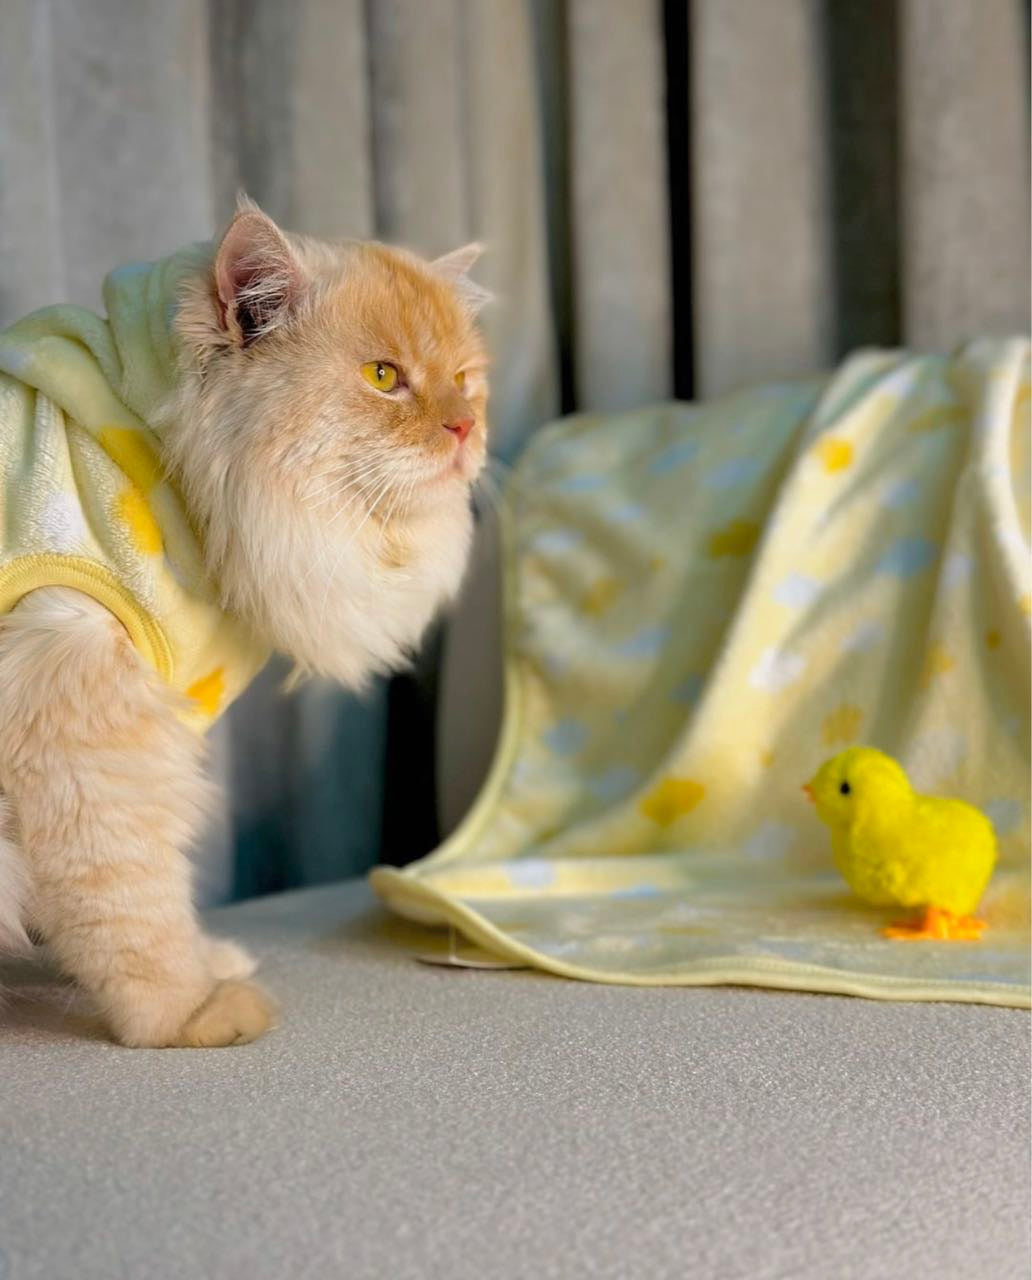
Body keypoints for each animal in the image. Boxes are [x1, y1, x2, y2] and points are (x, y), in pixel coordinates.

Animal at [0, 197, 489, 1039]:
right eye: (384, 378)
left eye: (463, 381)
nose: (464, 429)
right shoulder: (80, 715)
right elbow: (130, 905)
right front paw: (187, 1013)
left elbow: (149, 893)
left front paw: (208, 965)